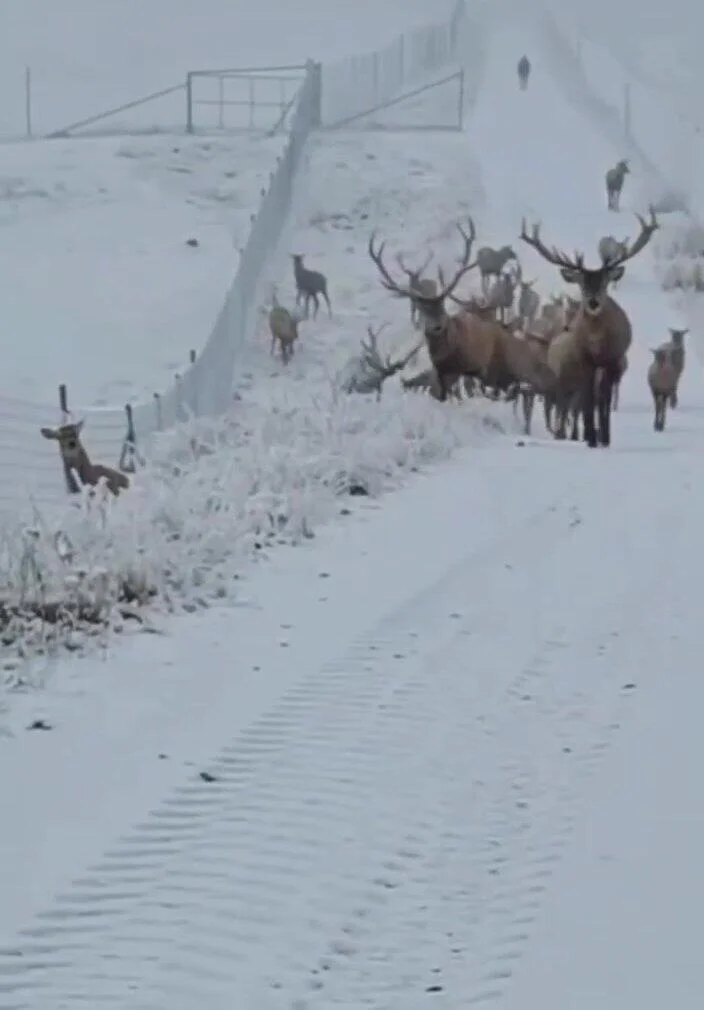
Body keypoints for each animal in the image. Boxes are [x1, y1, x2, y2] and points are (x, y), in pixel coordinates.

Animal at [517, 208, 658, 446]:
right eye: (581, 284)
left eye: (604, 282)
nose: (593, 302)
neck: (596, 340)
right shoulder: (583, 359)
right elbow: (587, 400)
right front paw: (590, 436)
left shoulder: (611, 358)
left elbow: (604, 399)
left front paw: (604, 436)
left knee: (601, 397)